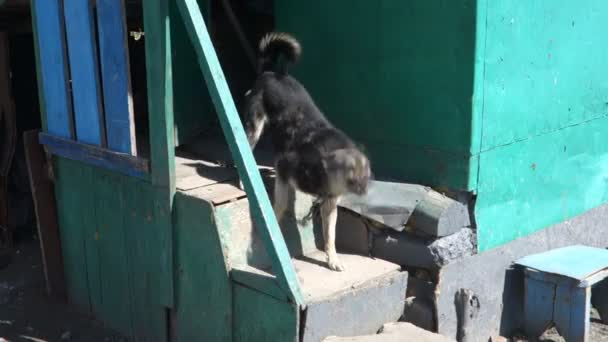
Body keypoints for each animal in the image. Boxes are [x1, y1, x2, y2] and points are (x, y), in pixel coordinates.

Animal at [242, 32, 370, 272]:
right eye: (350, 173)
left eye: (367, 174)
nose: (364, 190)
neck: (321, 166)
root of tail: (272, 73)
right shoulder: (284, 169)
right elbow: (280, 207)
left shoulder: (329, 205)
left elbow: (330, 236)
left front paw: (333, 259)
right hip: (254, 127)